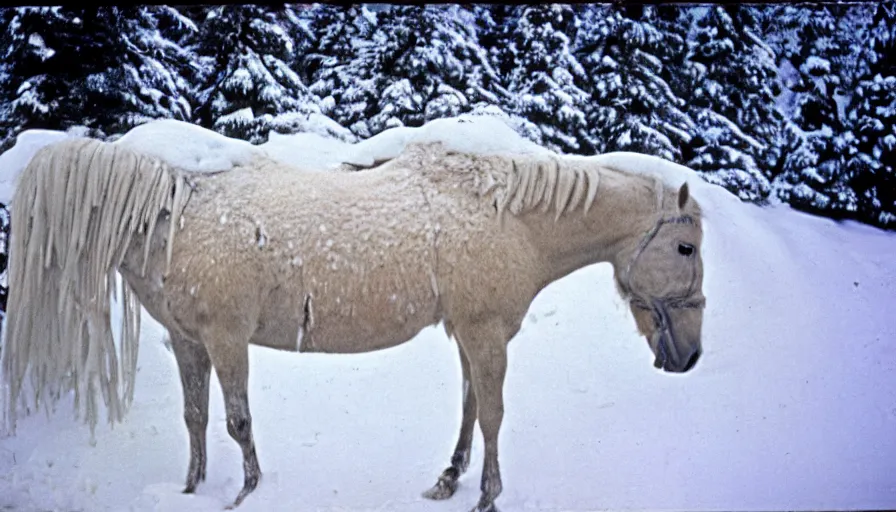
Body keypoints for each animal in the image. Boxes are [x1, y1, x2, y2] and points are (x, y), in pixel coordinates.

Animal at [1, 136, 708, 512]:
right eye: (685, 249)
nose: (691, 357)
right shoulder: (200, 341)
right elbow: (210, 420)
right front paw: (202, 490)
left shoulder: (476, 332)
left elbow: (479, 412)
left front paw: (469, 489)